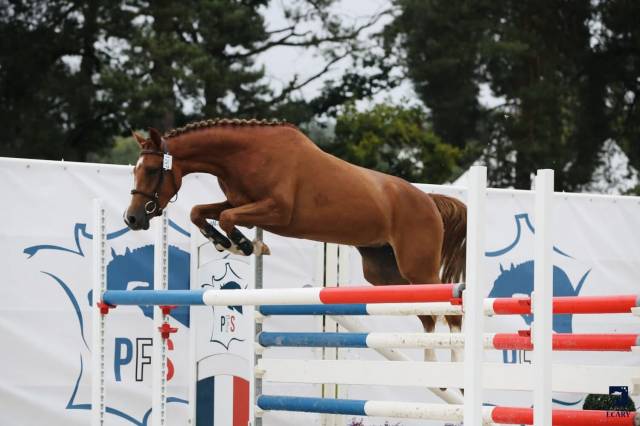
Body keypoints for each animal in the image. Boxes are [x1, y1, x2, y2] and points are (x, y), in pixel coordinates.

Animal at [124, 118, 467, 363]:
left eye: (152, 170)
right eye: (135, 170)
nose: (133, 219)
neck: (245, 155)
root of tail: (429, 199)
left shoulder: (276, 210)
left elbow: (227, 218)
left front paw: (247, 245)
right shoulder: (238, 203)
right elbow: (200, 212)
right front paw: (225, 243)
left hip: (417, 268)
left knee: (449, 310)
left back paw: (451, 371)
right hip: (384, 273)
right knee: (426, 313)